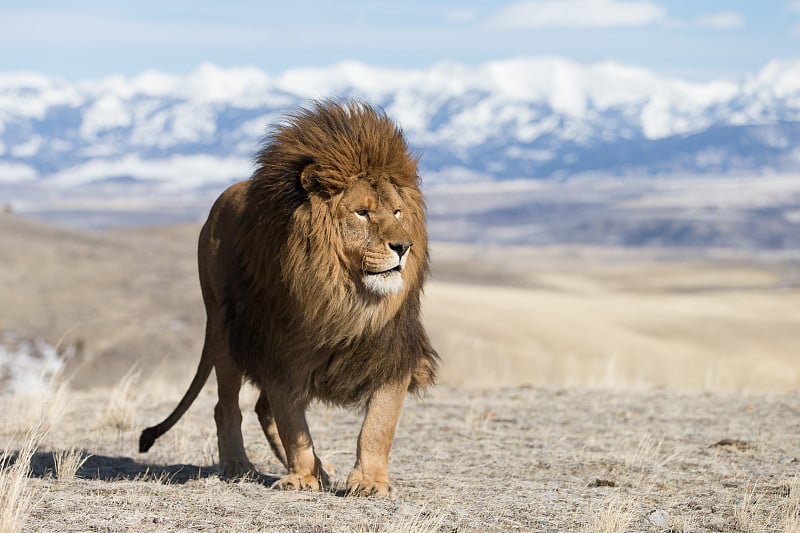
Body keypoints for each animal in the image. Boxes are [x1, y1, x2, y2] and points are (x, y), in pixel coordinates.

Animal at [138, 98, 438, 494]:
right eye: (362, 212)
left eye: (397, 211)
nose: (404, 246)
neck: (344, 297)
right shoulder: (278, 352)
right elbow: (292, 423)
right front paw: (301, 477)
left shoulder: (391, 352)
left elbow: (379, 424)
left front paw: (369, 482)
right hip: (224, 328)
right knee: (227, 407)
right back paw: (239, 465)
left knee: (261, 409)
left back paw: (319, 470)